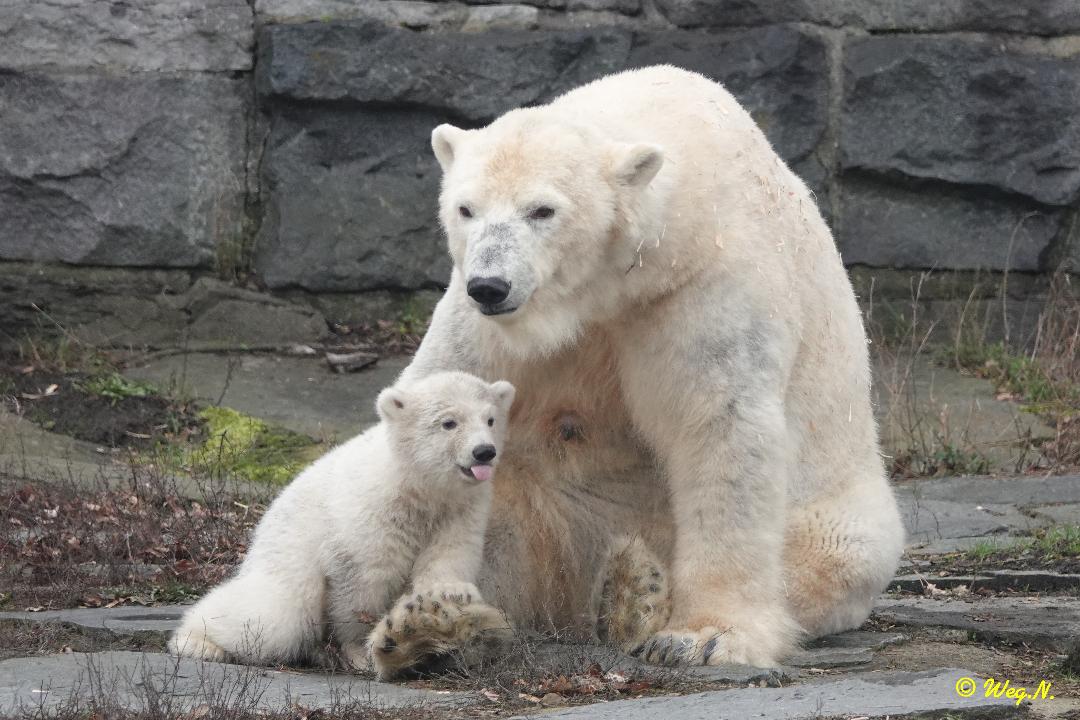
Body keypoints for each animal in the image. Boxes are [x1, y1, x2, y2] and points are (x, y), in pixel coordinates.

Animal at [371, 64, 902, 673]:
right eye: (466, 209)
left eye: (542, 210)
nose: (491, 285)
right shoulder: (484, 323)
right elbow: (434, 400)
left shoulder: (704, 285)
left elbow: (720, 428)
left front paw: (704, 635)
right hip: (535, 508)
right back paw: (435, 625)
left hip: (837, 516)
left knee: (827, 558)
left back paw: (636, 594)